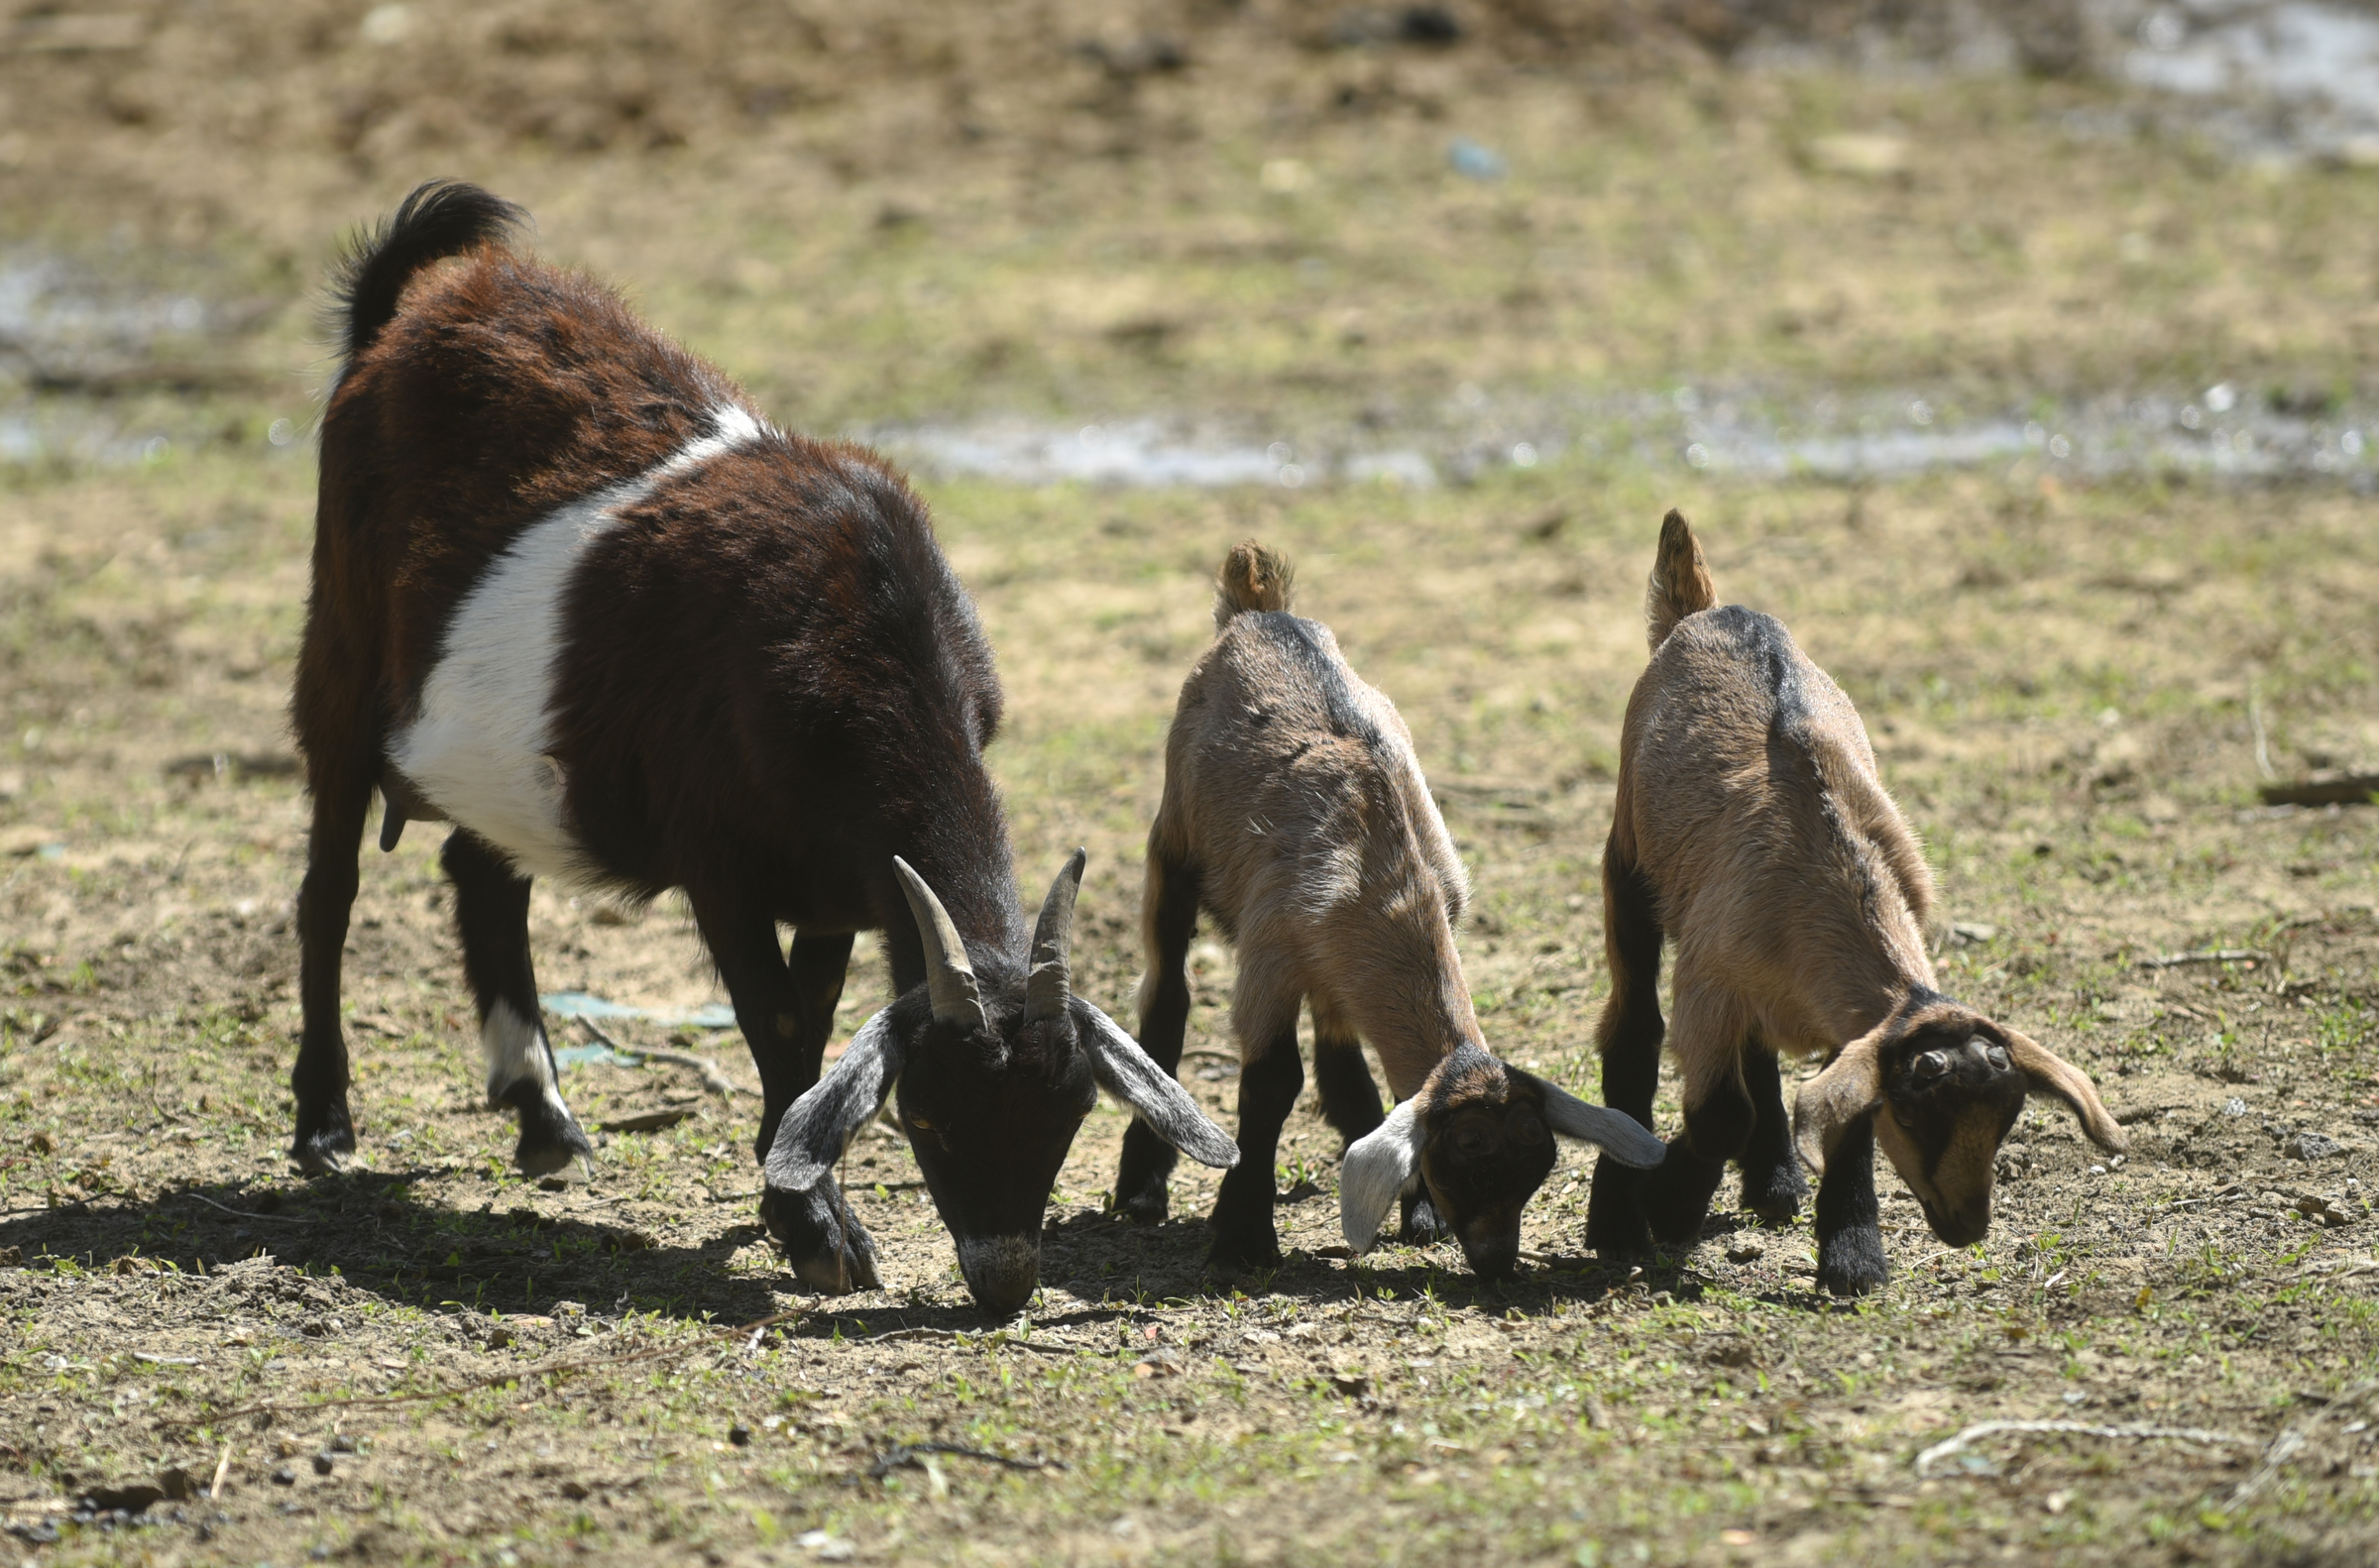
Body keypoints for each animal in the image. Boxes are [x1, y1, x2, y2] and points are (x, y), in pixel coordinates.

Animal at [293, 180, 1233, 1316]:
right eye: (927, 1112)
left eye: (1069, 1114)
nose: (1003, 1281)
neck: (856, 641)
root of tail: (409, 312)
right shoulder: (722, 863)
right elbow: (777, 1022)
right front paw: (818, 1229)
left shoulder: (837, 882)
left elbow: (817, 1015)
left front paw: (783, 1185)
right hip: (339, 664)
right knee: (329, 891)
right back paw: (324, 1126)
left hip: (496, 747)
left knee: (483, 871)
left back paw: (543, 1115)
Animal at [1112, 543, 1662, 1277]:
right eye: (1469, 1152)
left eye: (1537, 1164)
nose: (1496, 1261)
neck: (1382, 866)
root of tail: (1256, 612)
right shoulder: (1269, 954)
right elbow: (1270, 1083)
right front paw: (1241, 1237)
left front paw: (1417, 1212)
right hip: (1171, 847)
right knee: (1167, 991)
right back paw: (1141, 1188)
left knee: (1335, 1031)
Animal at [1585, 511, 2125, 1295]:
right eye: (1917, 1112)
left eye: (2007, 1120)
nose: (1968, 1227)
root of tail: (1709, 612)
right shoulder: (1709, 986)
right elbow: (1720, 1114)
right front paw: (1667, 1205)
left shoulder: (1839, 1012)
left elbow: (1842, 1115)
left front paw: (1852, 1256)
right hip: (1627, 862)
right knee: (1631, 1026)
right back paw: (1616, 1223)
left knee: (1756, 1051)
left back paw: (1775, 1184)